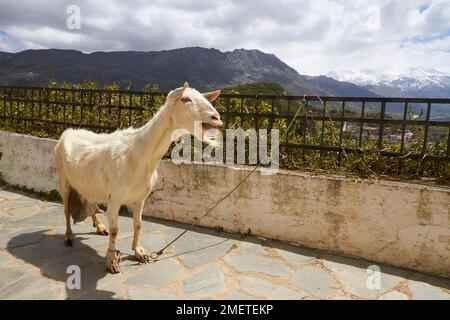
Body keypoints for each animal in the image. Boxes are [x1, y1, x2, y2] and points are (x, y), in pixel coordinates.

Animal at [53, 82, 222, 272]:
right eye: (185, 99)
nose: (216, 117)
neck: (138, 154)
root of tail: (68, 131)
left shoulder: (140, 197)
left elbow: (138, 224)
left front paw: (139, 252)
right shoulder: (114, 199)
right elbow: (115, 230)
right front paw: (111, 261)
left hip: (88, 182)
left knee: (90, 200)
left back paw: (99, 227)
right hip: (63, 178)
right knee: (67, 209)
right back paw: (68, 236)